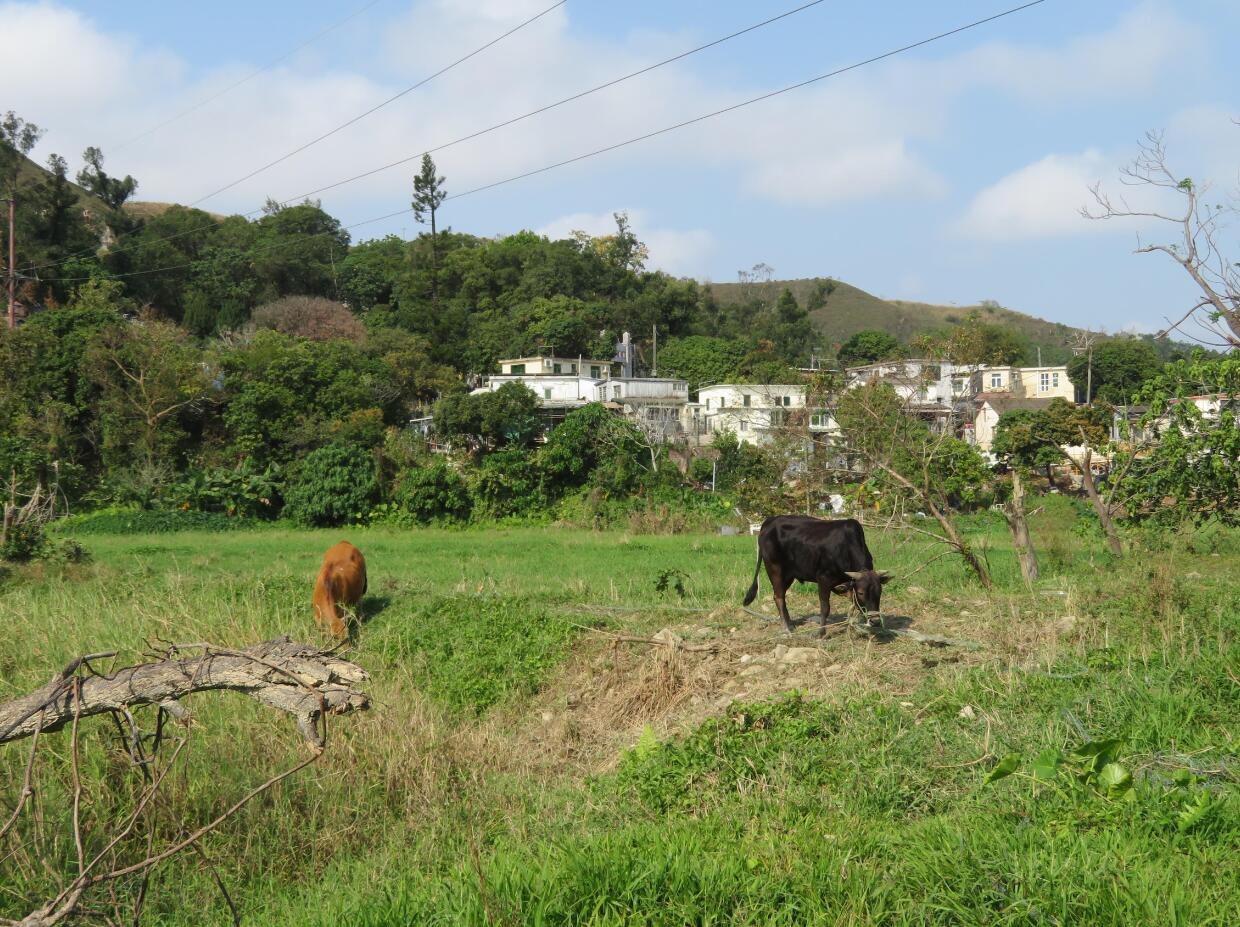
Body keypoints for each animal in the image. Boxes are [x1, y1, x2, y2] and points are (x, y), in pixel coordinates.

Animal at [742, 515, 891, 635]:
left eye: (880, 591)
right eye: (861, 592)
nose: (875, 621)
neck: (846, 547)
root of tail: (770, 520)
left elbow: (853, 605)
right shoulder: (824, 580)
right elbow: (825, 608)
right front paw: (820, 632)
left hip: (789, 575)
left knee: (780, 596)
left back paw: (790, 624)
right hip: (775, 570)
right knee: (779, 597)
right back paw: (787, 628)